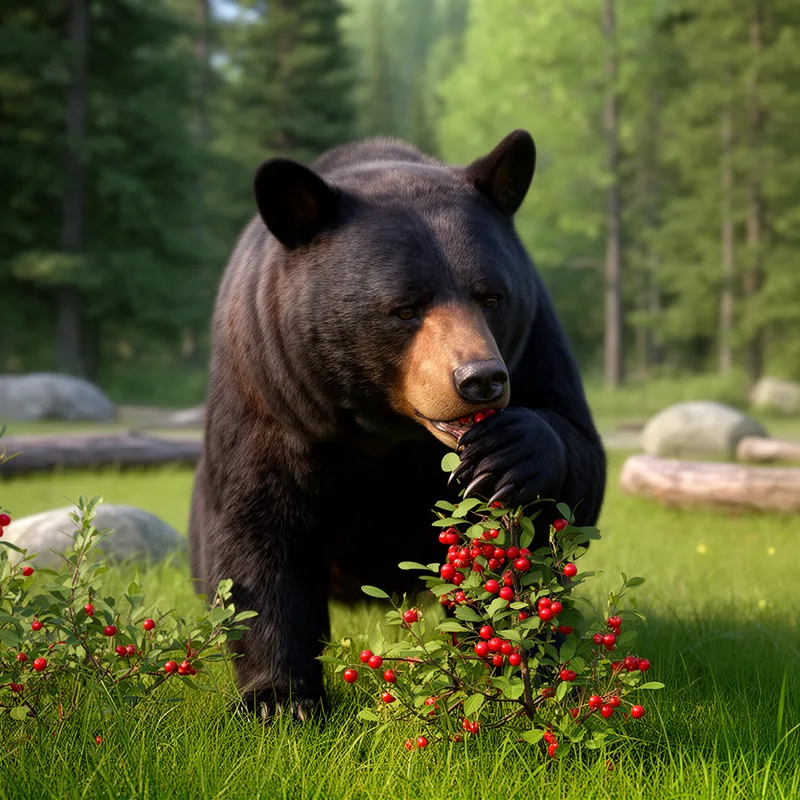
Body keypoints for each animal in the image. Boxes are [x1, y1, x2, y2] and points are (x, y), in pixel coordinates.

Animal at [188, 129, 607, 721]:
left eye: (491, 296)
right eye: (406, 309)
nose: (481, 379)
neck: (385, 427)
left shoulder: (534, 339)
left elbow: (575, 463)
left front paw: (511, 451)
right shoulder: (268, 388)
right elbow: (256, 528)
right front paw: (281, 700)